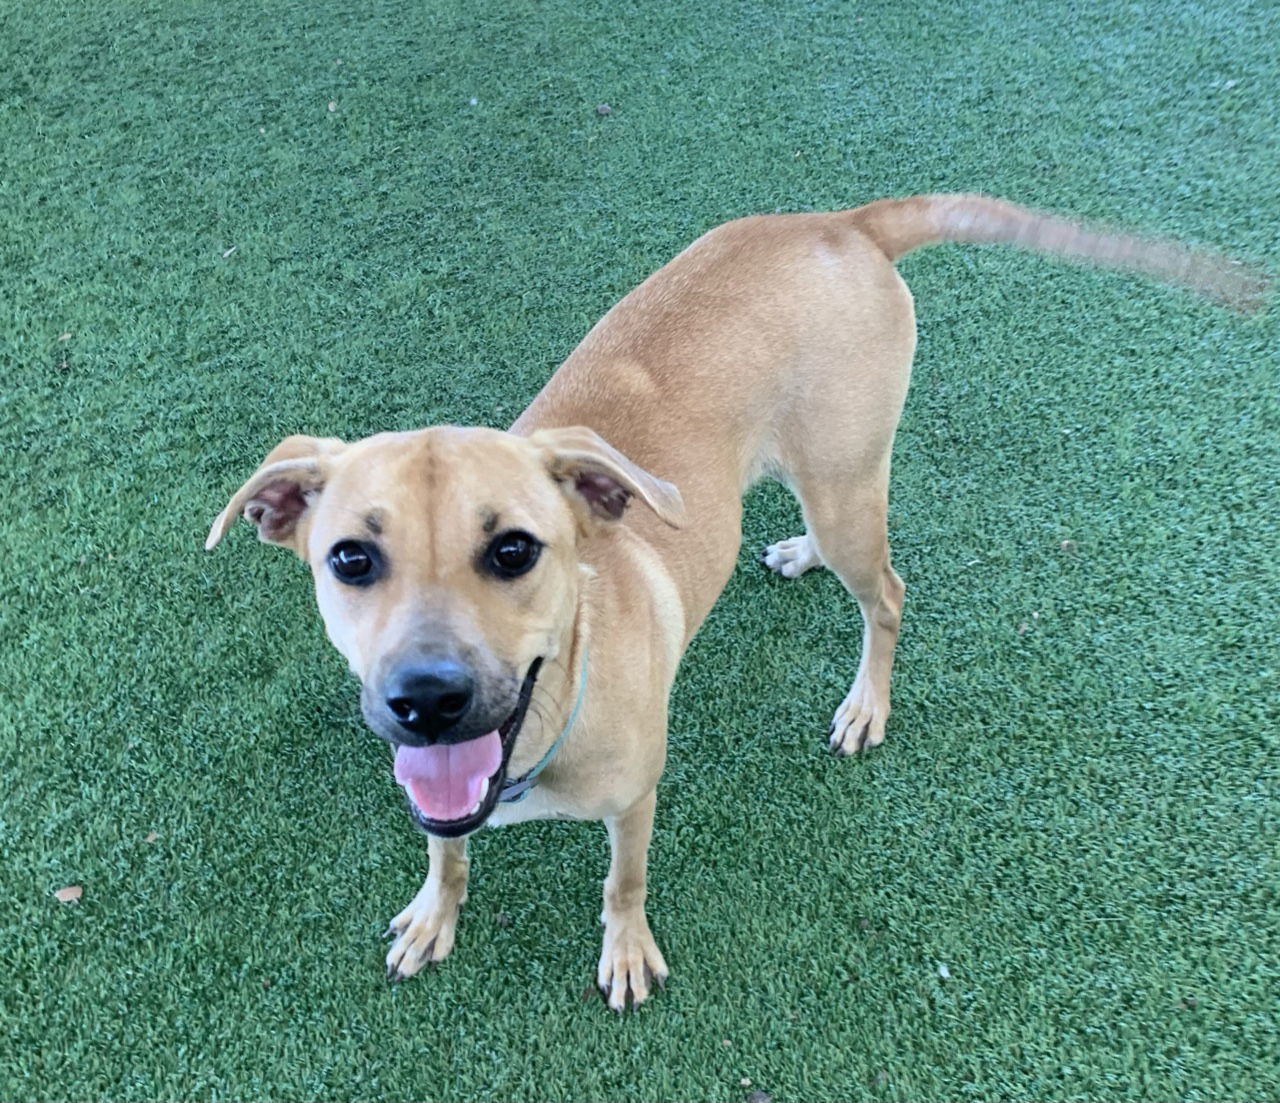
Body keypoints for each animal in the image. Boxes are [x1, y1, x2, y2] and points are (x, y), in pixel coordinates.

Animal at [207, 191, 1259, 1008]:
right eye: (349, 559)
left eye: (514, 550)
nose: (426, 699)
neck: (553, 708)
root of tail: (844, 223)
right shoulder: (436, 794)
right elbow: (446, 848)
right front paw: (436, 913)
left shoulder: (636, 797)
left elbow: (623, 881)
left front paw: (626, 951)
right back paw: (796, 555)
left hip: (846, 482)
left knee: (887, 594)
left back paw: (866, 703)